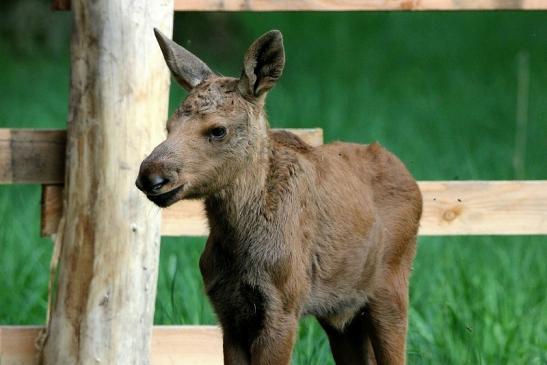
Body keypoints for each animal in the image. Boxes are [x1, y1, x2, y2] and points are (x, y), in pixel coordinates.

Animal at [137, 29, 424, 364]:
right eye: (168, 126)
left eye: (218, 130)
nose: (151, 176)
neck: (237, 241)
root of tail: (411, 178)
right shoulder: (229, 314)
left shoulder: (283, 307)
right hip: (343, 312)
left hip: (390, 288)